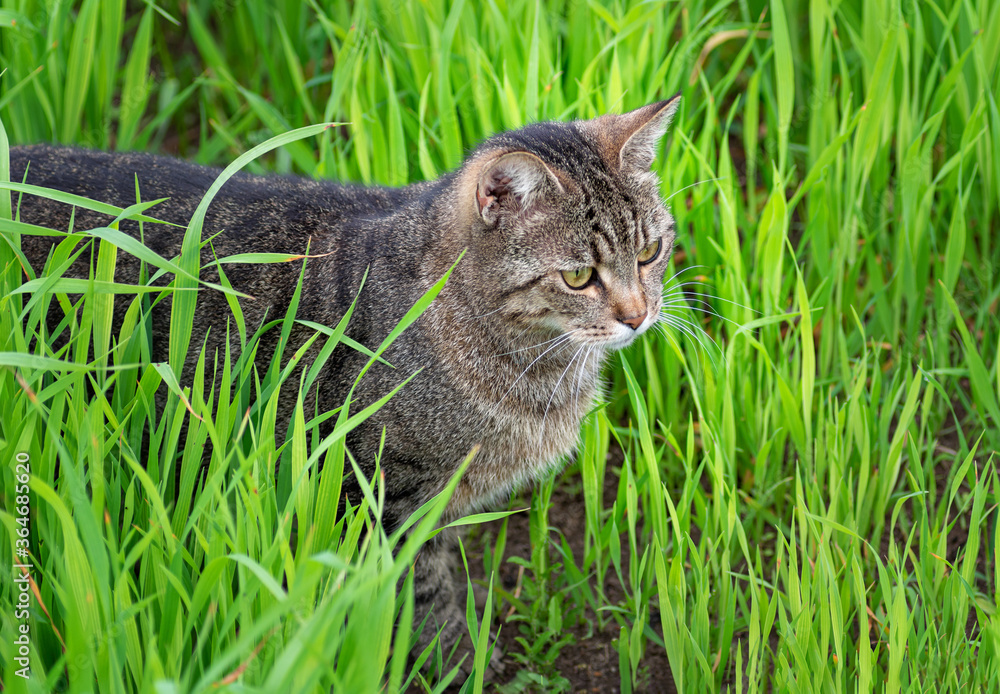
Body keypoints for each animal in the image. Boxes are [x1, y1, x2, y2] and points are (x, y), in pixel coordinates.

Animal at [15, 94, 684, 664]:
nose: (639, 315)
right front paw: (461, 665)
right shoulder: (383, 496)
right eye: (578, 277)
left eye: (650, 253)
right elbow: (424, 601)